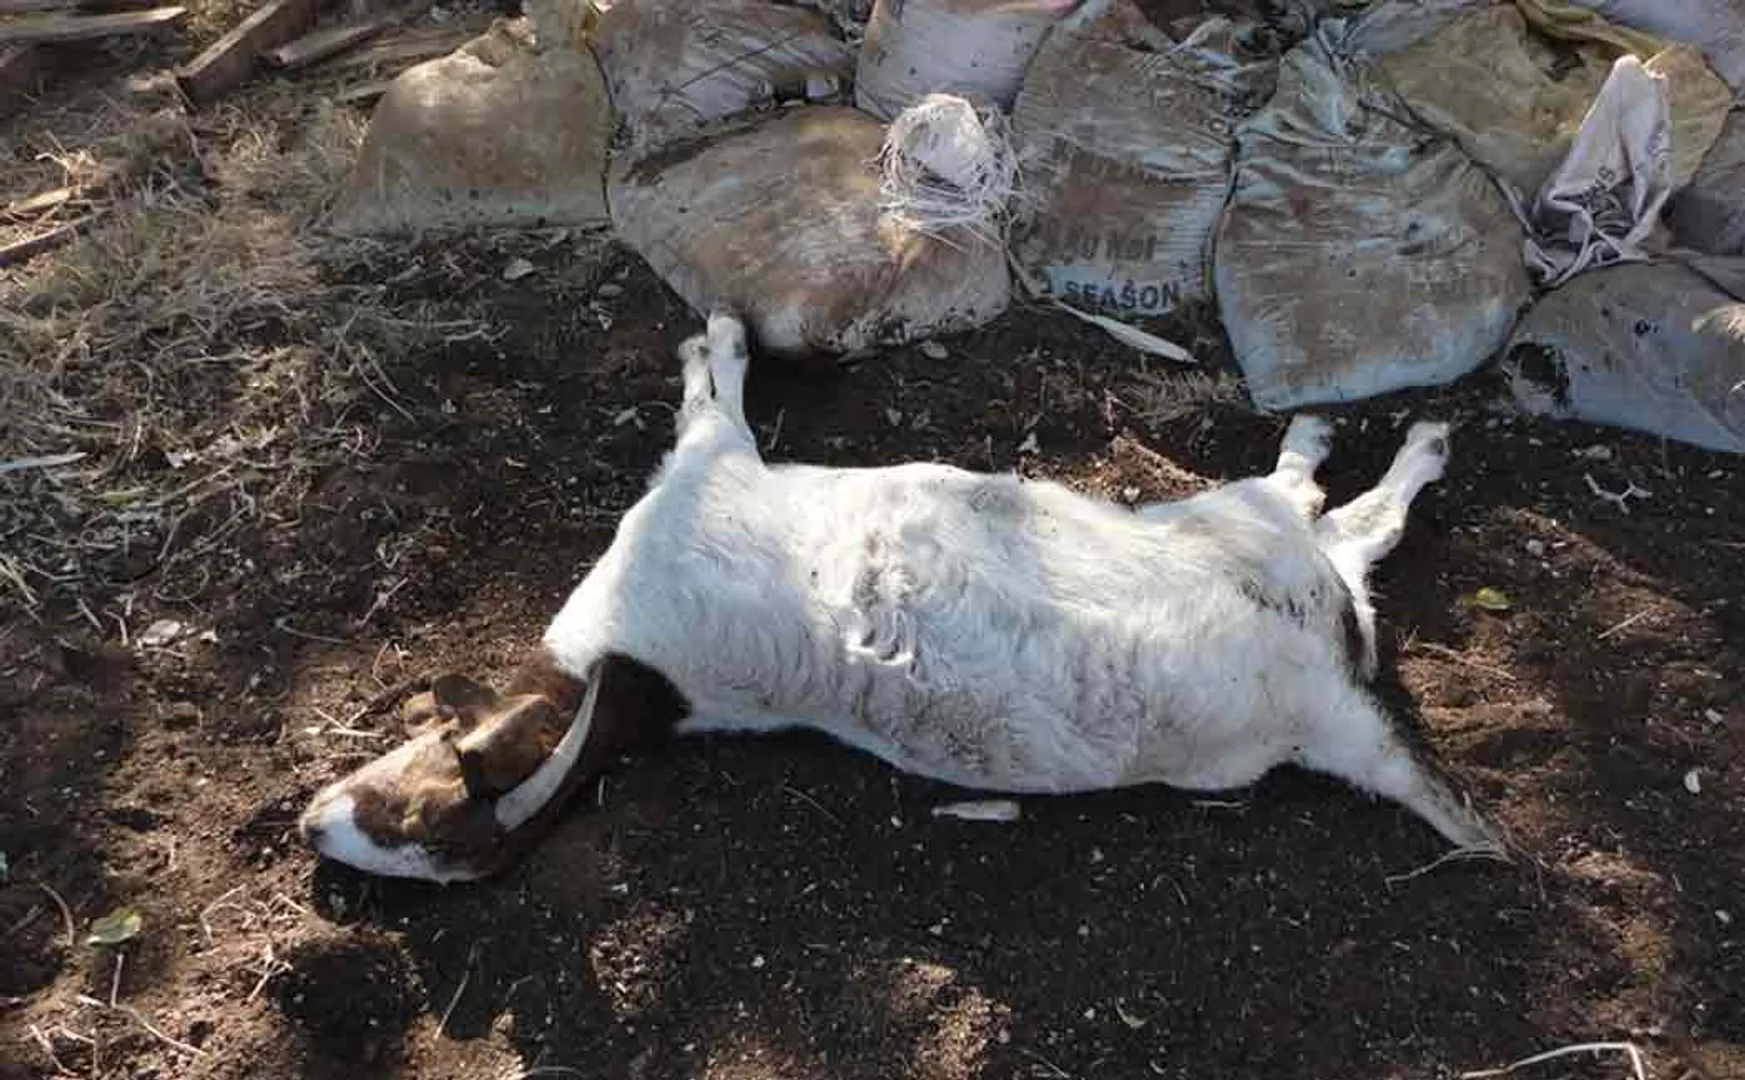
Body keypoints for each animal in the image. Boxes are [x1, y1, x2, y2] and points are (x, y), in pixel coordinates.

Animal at [299, 312, 1505, 883]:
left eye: (401, 804)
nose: (310, 827)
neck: (634, 679)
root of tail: (1318, 715)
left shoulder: (704, 481)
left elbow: (712, 397)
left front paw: (716, 338)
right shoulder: (708, 472)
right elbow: (712, 397)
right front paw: (718, 339)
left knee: (1342, 532)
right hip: (1232, 536)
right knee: (1334, 520)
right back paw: (1363, 443)